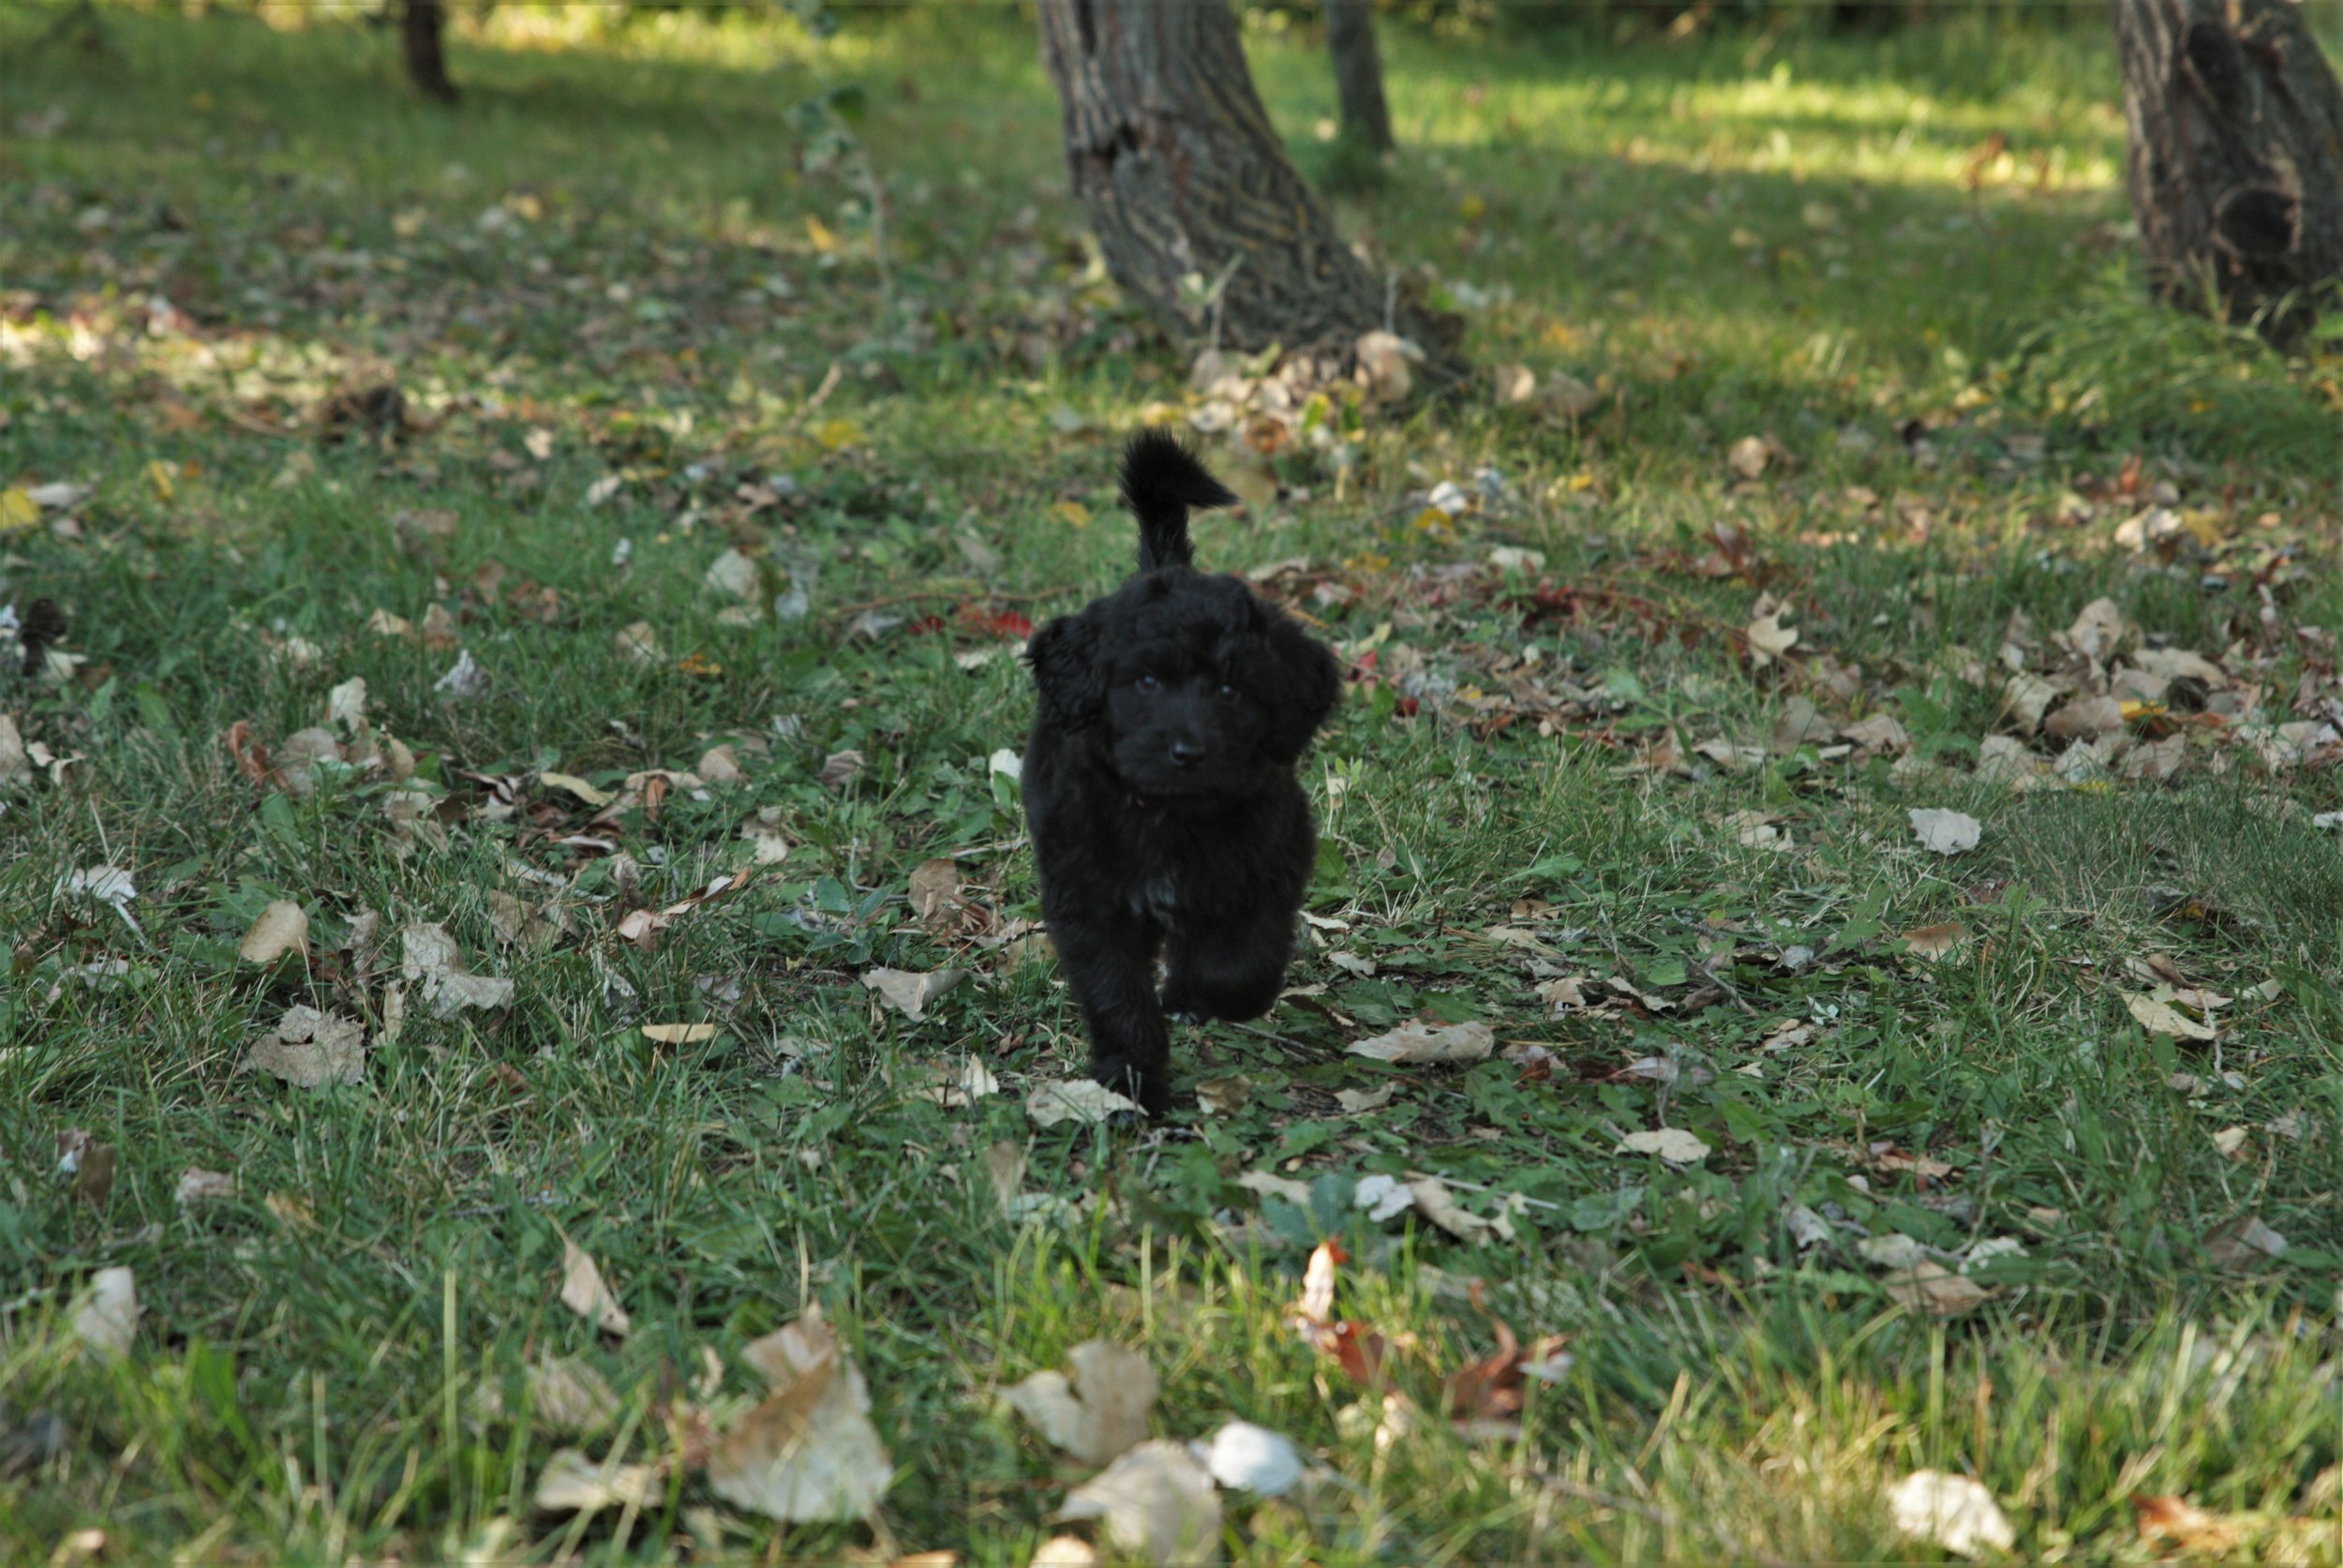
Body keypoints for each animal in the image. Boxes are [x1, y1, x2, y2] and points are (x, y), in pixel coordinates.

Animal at [1022, 428, 1340, 1111]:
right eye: (1145, 682)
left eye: (1229, 689)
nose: (1188, 752)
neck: (1169, 814)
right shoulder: (1088, 900)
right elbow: (1116, 993)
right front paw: (1131, 1079)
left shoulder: (1273, 858)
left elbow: (1243, 958)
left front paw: (1200, 995)